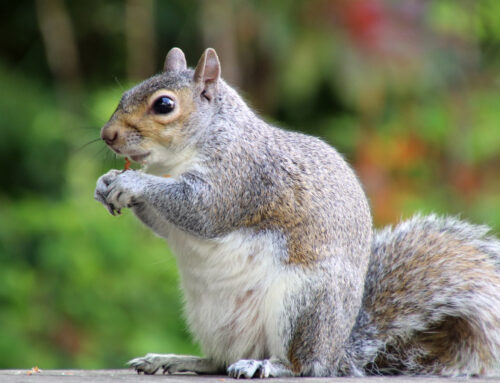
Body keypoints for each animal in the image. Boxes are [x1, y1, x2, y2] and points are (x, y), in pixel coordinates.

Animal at [94, 47, 500, 378]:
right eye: (124, 95)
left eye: (164, 105)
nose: (107, 135)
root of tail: (337, 353)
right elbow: (165, 225)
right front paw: (106, 182)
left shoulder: (241, 180)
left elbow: (201, 211)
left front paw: (133, 183)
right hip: (210, 318)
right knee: (220, 361)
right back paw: (177, 360)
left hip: (303, 304)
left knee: (301, 364)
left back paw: (266, 365)